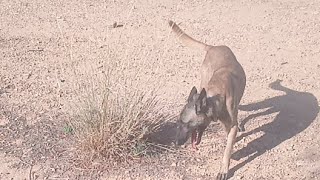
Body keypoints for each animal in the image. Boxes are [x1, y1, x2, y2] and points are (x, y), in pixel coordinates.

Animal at [170, 20, 248, 180]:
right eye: (178, 123)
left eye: (187, 124)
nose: (176, 142)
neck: (214, 96)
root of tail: (213, 47)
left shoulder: (231, 124)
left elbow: (228, 148)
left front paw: (224, 169)